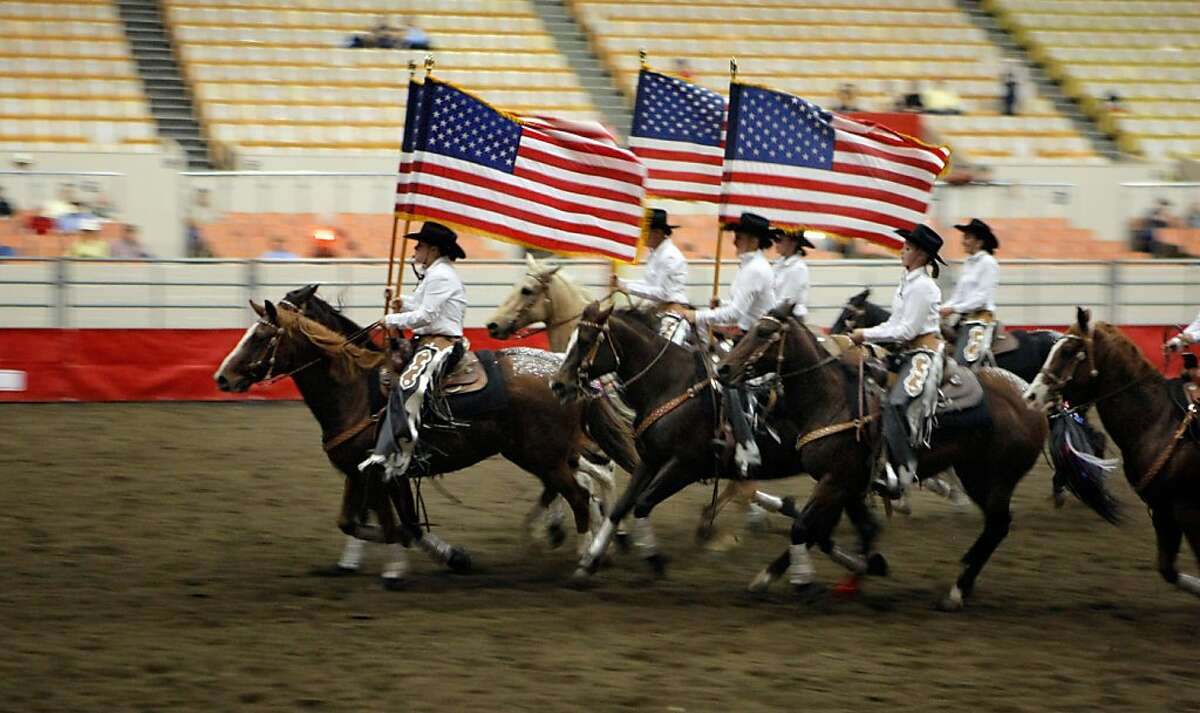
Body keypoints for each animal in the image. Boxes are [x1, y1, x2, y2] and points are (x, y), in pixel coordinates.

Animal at [213, 288, 638, 583]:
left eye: (260, 338)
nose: (222, 377)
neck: (357, 389)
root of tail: (564, 373)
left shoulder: (379, 473)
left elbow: (397, 525)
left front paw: (399, 569)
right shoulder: (361, 472)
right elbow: (360, 521)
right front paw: (446, 556)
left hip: (544, 457)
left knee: (581, 494)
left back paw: (584, 555)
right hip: (551, 455)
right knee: (590, 483)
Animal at [552, 302, 892, 585]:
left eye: (585, 341)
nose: (558, 384)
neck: (670, 384)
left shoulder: (685, 465)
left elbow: (643, 504)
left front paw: (654, 559)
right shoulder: (651, 459)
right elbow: (621, 507)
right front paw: (589, 562)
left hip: (837, 479)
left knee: (831, 527)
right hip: (844, 482)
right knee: (848, 528)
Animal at [720, 302, 1123, 607]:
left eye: (764, 333)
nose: (724, 368)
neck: (832, 398)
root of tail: (1032, 399)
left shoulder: (836, 481)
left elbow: (805, 526)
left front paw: (800, 580)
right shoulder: (846, 485)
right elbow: (829, 528)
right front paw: (859, 569)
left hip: (993, 478)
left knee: (998, 525)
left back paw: (958, 590)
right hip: (975, 473)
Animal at [1022, 307, 1200, 600]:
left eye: (1068, 350)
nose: (1031, 396)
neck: (1159, 421)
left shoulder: (1187, 511)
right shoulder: (1163, 511)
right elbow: (1167, 570)